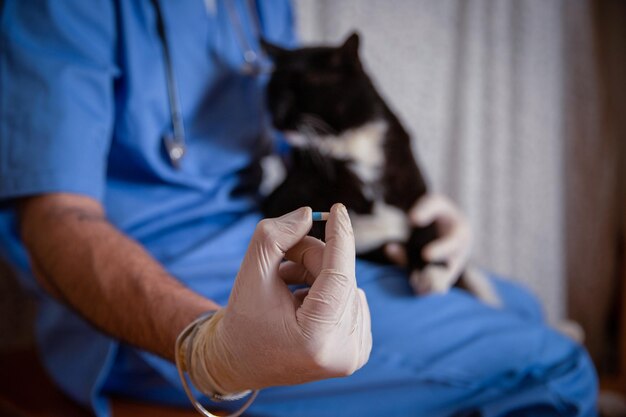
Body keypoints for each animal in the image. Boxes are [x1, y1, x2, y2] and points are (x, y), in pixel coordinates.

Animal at [258, 31, 498, 302]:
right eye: (272, 93)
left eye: (302, 87)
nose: (276, 118)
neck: (351, 145)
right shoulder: (288, 193)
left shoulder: (415, 190)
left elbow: (426, 226)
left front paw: (432, 270)